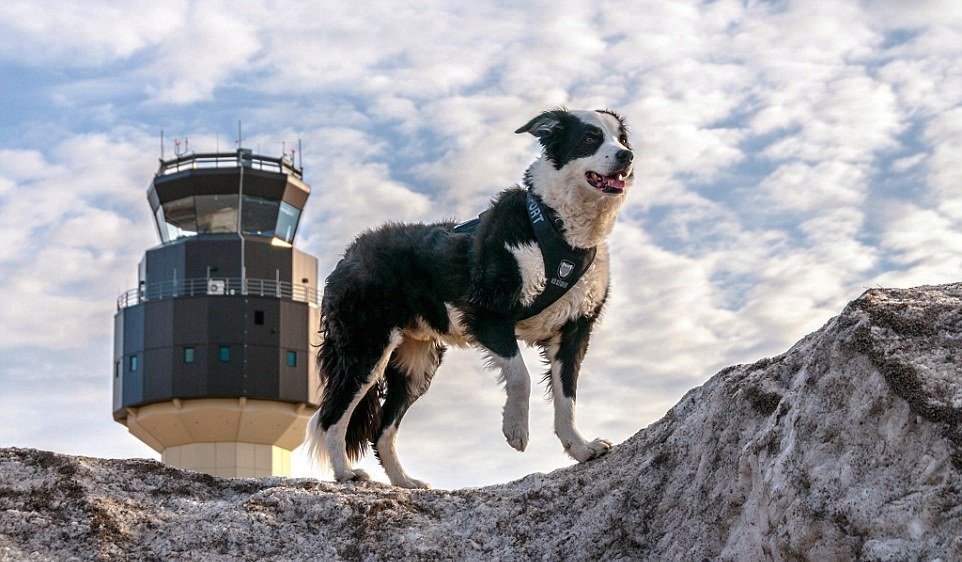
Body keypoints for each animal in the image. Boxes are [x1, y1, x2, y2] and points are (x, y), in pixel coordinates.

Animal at [304, 108, 632, 486]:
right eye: (590, 138)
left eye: (622, 138)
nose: (627, 156)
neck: (560, 229)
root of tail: (350, 254)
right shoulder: (487, 314)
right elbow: (520, 375)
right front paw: (516, 429)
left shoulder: (574, 330)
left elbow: (567, 397)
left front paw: (580, 448)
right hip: (366, 349)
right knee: (332, 415)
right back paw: (345, 473)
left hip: (417, 366)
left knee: (382, 429)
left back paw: (404, 483)